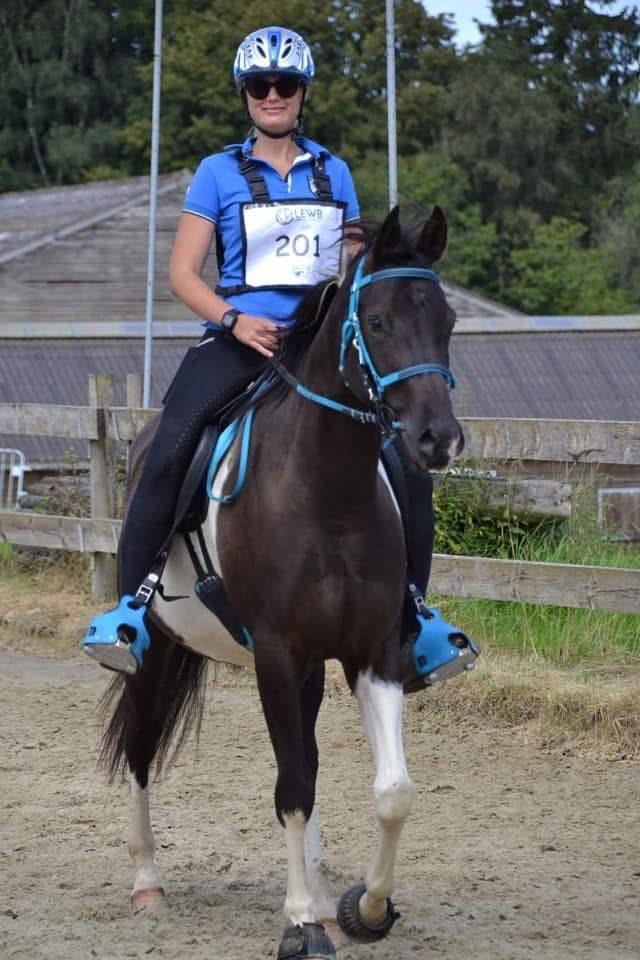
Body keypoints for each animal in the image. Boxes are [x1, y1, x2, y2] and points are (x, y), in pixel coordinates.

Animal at [99, 205, 463, 959]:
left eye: (446, 320)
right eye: (376, 321)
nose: (437, 439)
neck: (329, 494)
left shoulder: (371, 655)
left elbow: (391, 790)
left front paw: (363, 908)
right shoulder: (275, 653)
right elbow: (291, 787)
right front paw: (298, 923)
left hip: (310, 670)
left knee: (312, 761)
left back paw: (323, 897)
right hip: (157, 651)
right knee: (141, 750)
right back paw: (148, 883)